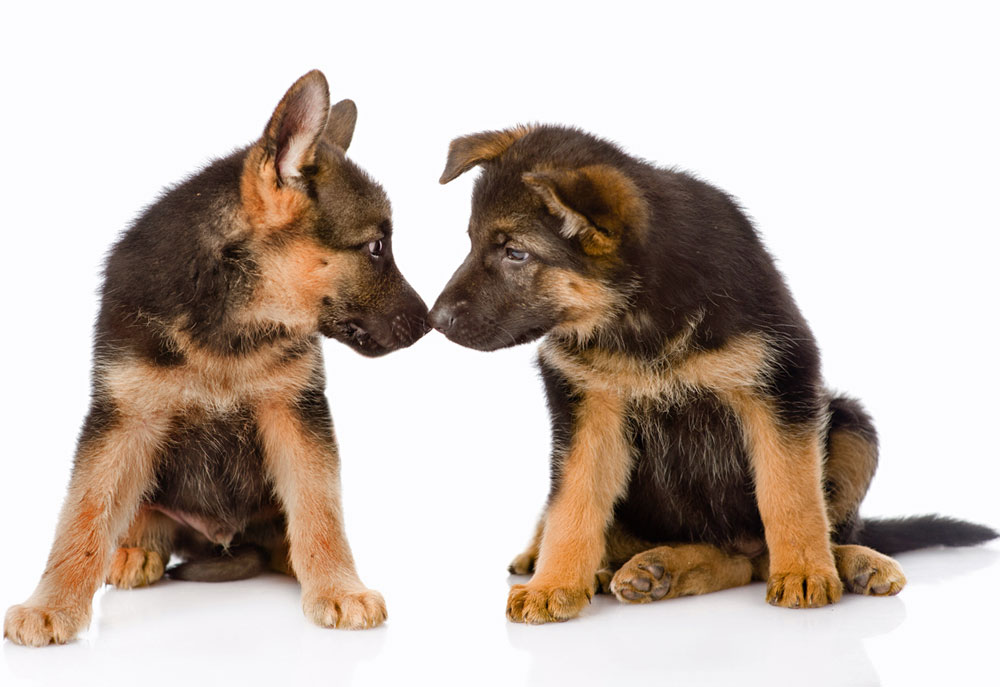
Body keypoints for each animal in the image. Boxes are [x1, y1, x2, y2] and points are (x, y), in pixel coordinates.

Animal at [3, 72, 428, 648]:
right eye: (376, 247)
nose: (430, 322)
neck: (229, 325)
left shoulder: (296, 413)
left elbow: (319, 507)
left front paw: (338, 588)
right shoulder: (124, 418)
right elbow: (84, 513)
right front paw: (51, 605)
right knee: (141, 518)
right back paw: (134, 551)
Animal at [426, 122, 996, 624]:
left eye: (515, 252)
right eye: (472, 241)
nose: (433, 320)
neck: (638, 315)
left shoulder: (781, 382)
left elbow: (790, 492)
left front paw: (806, 571)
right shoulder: (586, 408)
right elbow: (572, 505)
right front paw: (553, 585)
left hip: (849, 423)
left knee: (767, 551)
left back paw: (847, 563)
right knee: (725, 558)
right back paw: (642, 567)